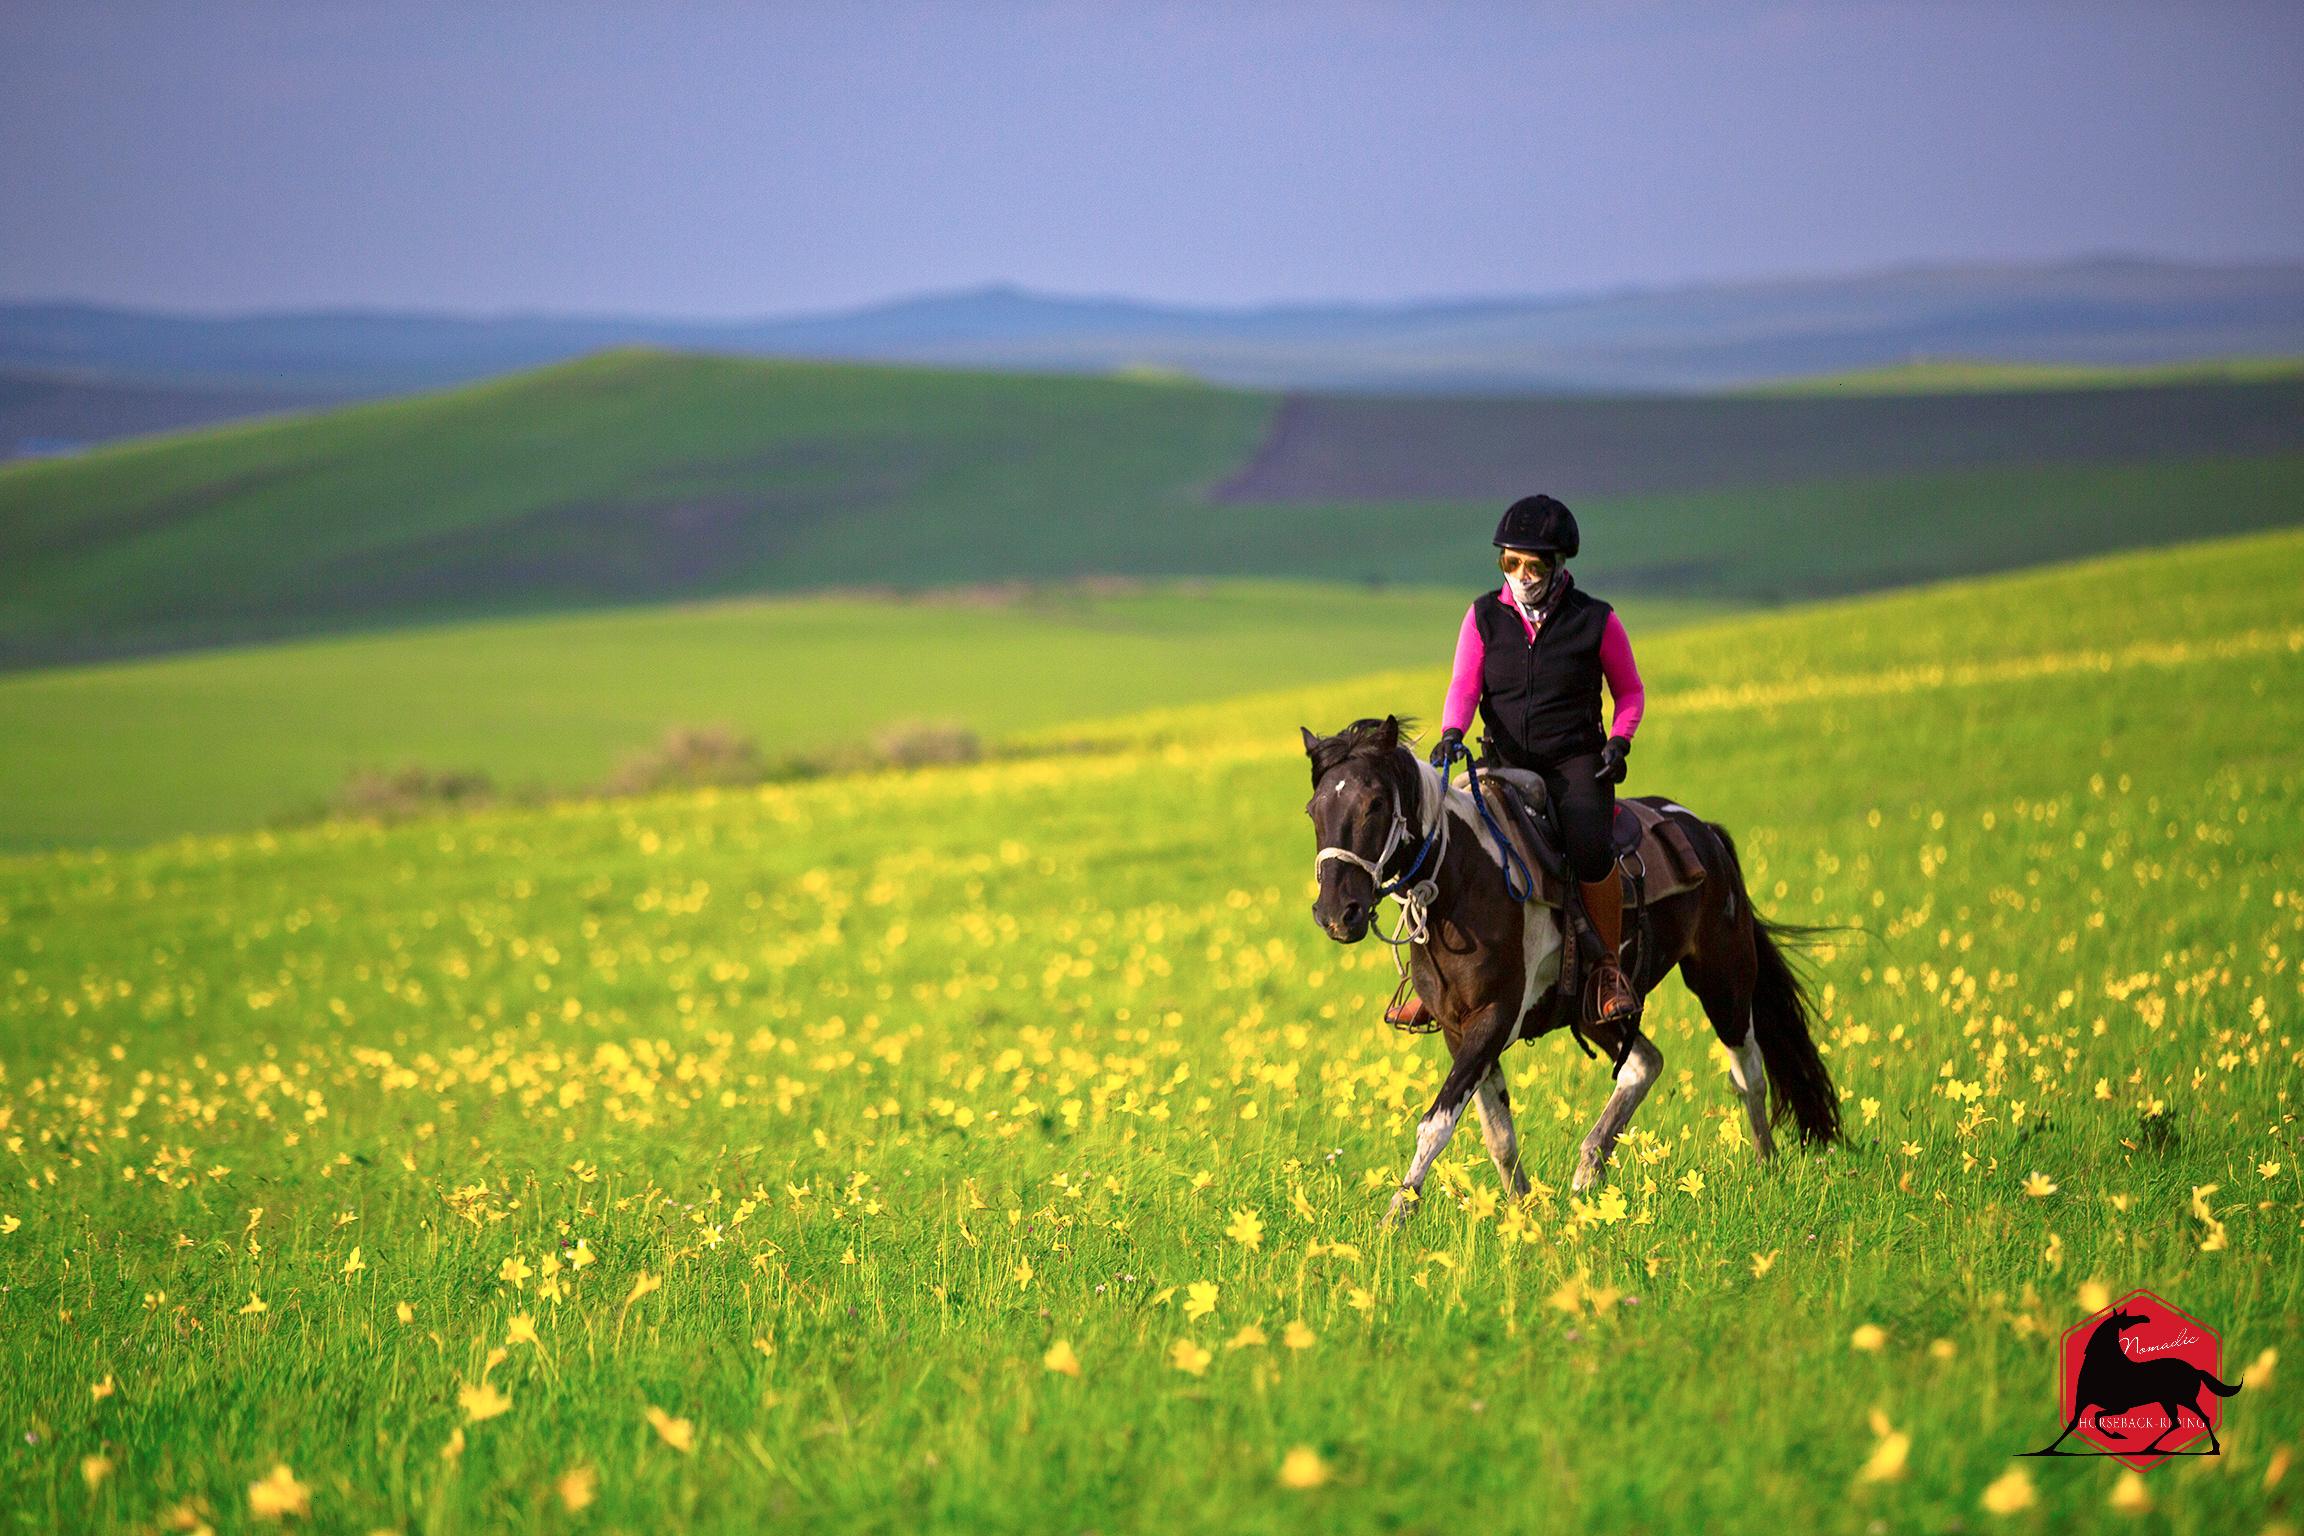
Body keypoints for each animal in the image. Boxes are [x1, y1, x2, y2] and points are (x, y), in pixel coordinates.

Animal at [1308, 713, 1843, 1215]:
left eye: (1375, 804)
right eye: (1314, 810)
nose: (1337, 913)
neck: (1462, 880)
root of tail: (1703, 831)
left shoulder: (1494, 1018)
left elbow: (1436, 1124)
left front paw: (1395, 1216)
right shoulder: (1459, 1029)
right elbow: (1497, 1134)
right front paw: (1523, 1213)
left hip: (1722, 977)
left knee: (1747, 1070)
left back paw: (1765, 1168)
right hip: (1595, 1008)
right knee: (1644, 1064)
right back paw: (1588, 1171)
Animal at [2036, 1308, 2248, 1455]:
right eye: (2127, 1317)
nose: (2145, 1318)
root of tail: (2195, 1369)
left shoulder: (2120, 1406)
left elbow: (2096, 1417)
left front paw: (2117, 1435)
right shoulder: (2083, 1402)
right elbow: (2075, 1423)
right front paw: (2047, 1449)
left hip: (2184, 1398)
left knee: (2202, 1418)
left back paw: (2214, 1447)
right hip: (2168, 1400)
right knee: (2176, 1422)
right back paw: (2149, 1448)